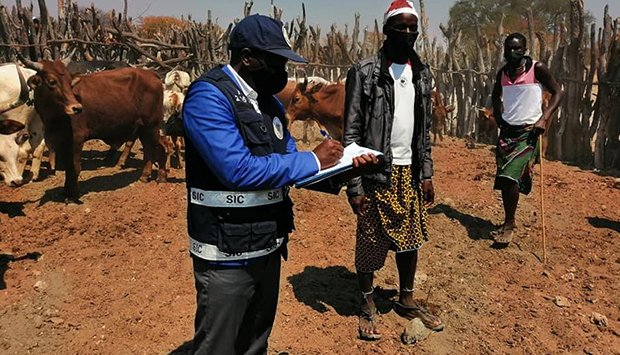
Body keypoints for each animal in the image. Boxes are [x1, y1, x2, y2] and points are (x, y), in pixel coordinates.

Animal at [23, 59, 166, 202]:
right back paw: (147, 176)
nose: (77, 108)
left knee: (157, 147)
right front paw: (65, 192)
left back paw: (155, 176)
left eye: (70, 82)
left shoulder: (77, 138)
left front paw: (73, 195)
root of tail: (152, 74)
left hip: (151, 125)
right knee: (151, 147)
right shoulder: (62, 141)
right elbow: (68, 167)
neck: (54, 117)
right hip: (143, 128)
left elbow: (75, 167)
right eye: (52, 81)